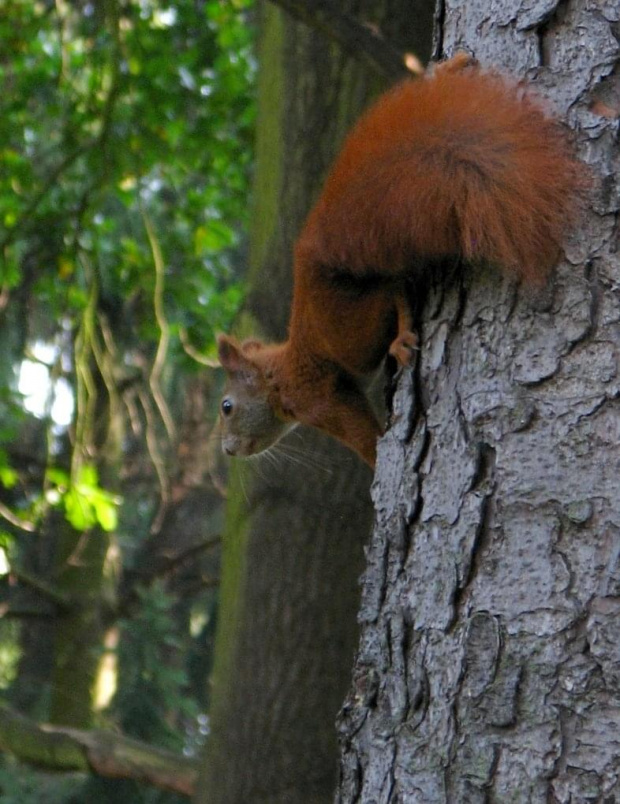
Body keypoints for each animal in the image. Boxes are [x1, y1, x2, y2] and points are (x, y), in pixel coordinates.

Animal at [217, 55, 588, 464]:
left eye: (227, 407)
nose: (227, 450)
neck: (278, 374)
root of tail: (318, 253)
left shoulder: (315, 396)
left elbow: (362, 435)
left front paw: (377, 463)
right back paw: (449, 68)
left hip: (346, 331)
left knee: (393, 289)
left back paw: (400, 338)